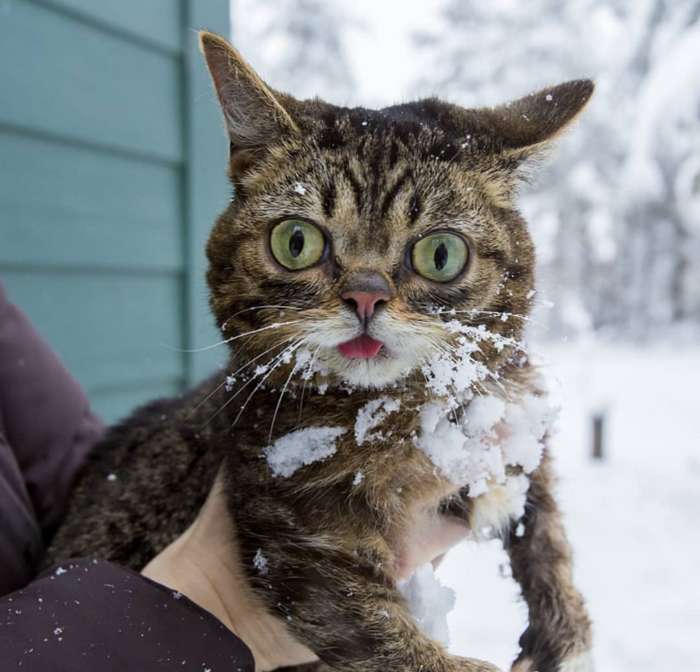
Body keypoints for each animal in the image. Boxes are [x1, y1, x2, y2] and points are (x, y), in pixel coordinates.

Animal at [50, 30, 596, 672]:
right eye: (297, 242)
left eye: (440, 254)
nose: (366, 295)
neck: (401, 411)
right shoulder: (297, 536)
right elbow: (383, 634)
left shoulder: (514, 412)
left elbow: (544, 510)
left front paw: (565, 629)